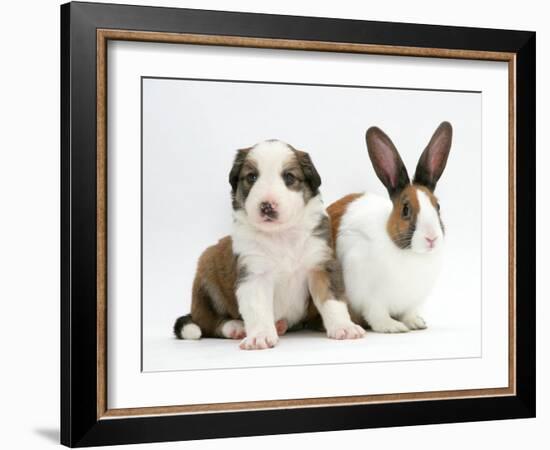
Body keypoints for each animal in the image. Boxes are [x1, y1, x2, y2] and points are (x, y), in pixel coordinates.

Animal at [175, 139, 366, 350]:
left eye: (289, 177)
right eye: (252, 176)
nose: (266, 206)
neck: (281, 235)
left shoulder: (321, 264)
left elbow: (332, 300)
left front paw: (344, 327)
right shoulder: (254, 273)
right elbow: (257, 309)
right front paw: (260, 336)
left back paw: (280, 325)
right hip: (207, 275)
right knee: (208, 323)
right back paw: (236, 327)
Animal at [330, 121, 454, 332]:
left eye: (437, 206)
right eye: (405, 209)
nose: (431, 238)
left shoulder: (413, 302)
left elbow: (409, 313)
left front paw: (416, 323)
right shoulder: (369, 297)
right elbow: (376, 314)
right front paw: (393, 327)